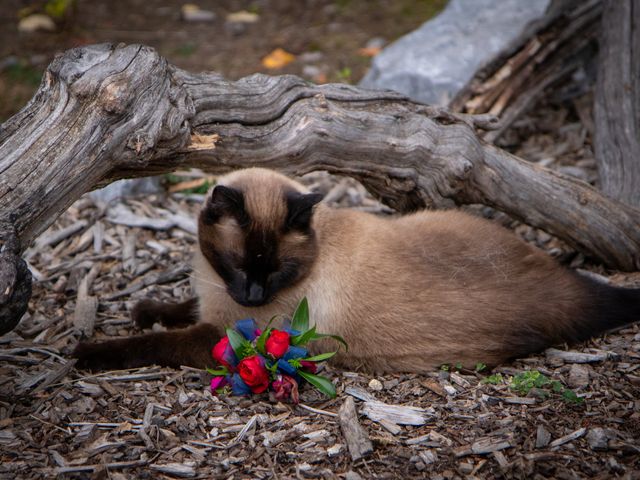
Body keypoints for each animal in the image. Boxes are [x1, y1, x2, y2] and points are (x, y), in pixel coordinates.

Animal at [74, 167, 640, 374]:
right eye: (238, 264)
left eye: (276, 271)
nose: (253, 297)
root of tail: (564, 290)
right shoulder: (212, 297)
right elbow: (177, 307)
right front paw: (145, 307)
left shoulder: (226, 338)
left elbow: (156, 342)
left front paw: (88, 354)